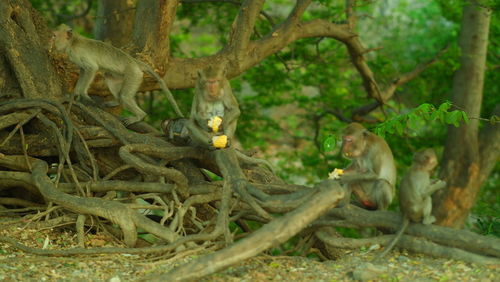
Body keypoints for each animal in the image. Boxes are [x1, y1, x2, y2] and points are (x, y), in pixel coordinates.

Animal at [50, 23, 185, 125]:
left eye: (55, 35)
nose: (51, 39)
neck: (72, 43)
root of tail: (134, 62)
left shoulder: (79, 53)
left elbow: (91, 68)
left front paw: (82, 94)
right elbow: (83, 71)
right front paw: (74, 94)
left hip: (134, 74)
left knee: (125, 96)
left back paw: (139, 116)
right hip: (123, 75)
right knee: (110, 78)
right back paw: (117, 101)